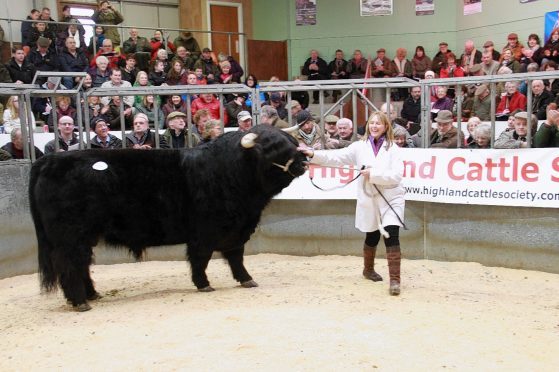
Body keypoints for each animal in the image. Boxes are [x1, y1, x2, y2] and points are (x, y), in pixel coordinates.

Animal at [29, 125, 308, 310]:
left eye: (291, 141)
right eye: (273, 149)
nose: (304, 161)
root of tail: (50, 159)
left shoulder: (236, 230)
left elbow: (235, 257)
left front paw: (246, 279)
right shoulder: (204, 232)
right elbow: (201, 259)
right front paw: (203, 283)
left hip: (84, 237)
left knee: (82, 264)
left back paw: (91, 294)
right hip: (70, 237)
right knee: (70, 266)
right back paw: (79, 301)